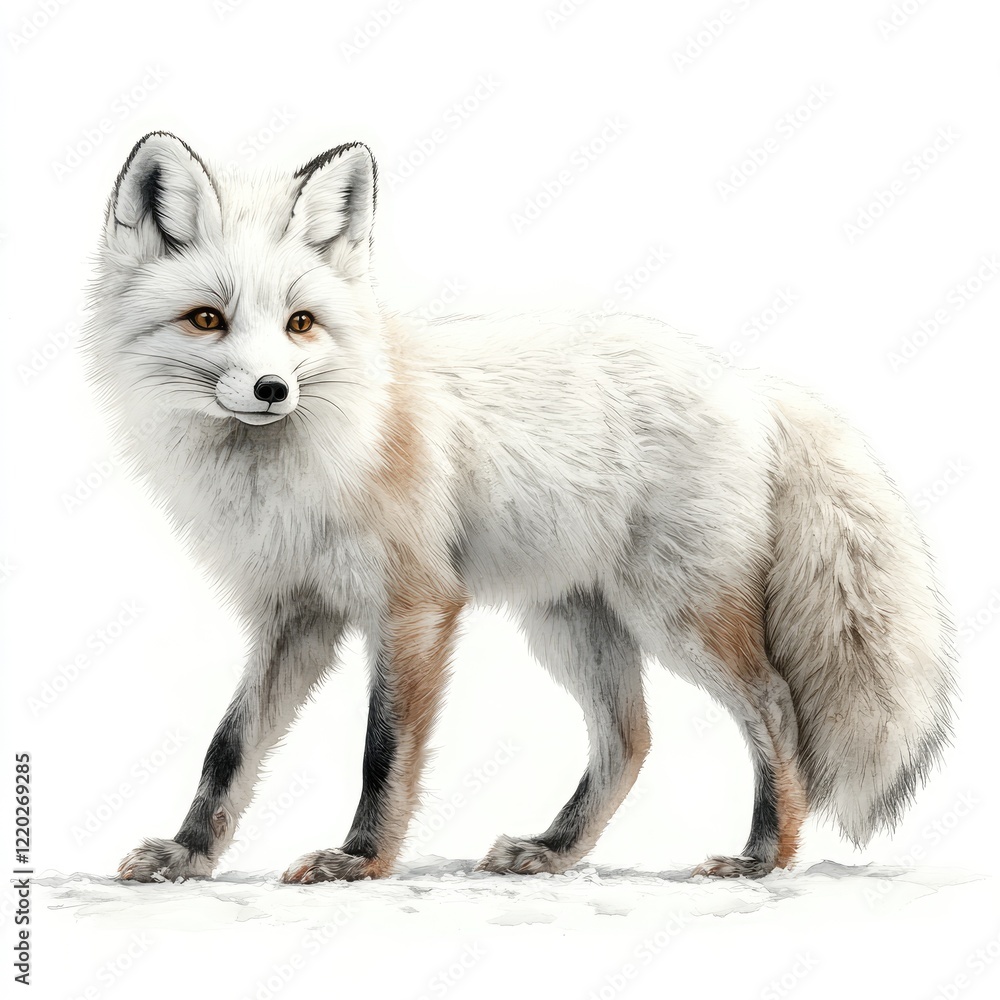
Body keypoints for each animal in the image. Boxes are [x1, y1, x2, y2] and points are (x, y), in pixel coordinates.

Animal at [83, 132, 956, 884]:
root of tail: (746, 380)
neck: (301, 474)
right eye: (208, 319)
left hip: (676, 613)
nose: (273, 390)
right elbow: (228, 746)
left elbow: (382, 752)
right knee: (629, 737)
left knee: (775, 705)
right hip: (572, 622)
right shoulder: (294, 613)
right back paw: (555, 849)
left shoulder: (415, 606)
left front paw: (359, 861)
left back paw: (763, 856)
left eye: (300, 324)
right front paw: (189, 855)